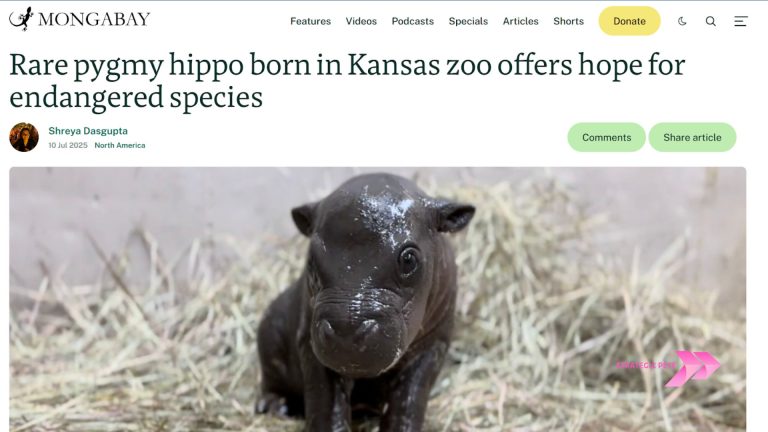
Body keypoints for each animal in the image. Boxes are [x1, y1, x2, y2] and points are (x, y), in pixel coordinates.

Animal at [256, 173, 475, 431]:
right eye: (311, 260)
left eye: (409, 259)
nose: (346, 331)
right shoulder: (310, 346)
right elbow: (326, 405)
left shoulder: (432, 347)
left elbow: (408, 402)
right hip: (270, 332)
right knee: (271, 380)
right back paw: (275, 406)